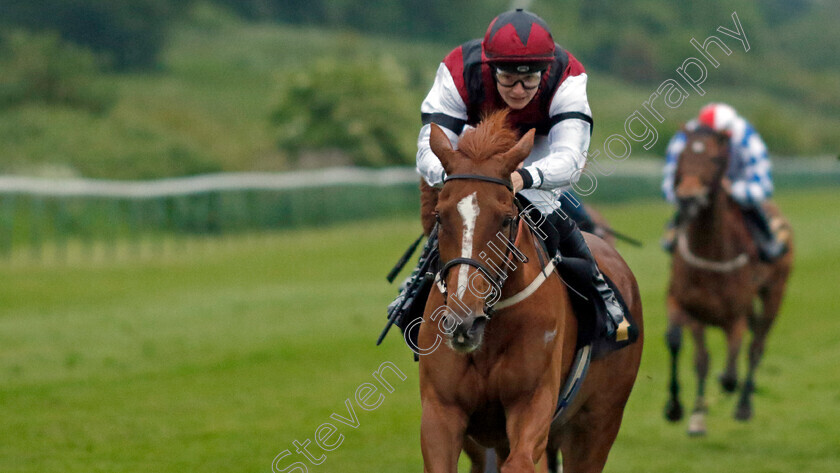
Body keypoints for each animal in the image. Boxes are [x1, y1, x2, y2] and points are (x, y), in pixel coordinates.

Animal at [418, 109, 644, 470]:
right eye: (440, 216)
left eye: (506, 218)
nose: (464, 322)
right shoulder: (441, 411)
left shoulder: (533, 403)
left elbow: (521, 461)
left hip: (598, 424)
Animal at [664, 124, 796, 436]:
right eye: (682, 155)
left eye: (715, 159)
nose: (687, 197)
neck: (709, 253)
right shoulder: (687, 306)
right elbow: (688, 351)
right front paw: (683, 411)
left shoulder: (734, 317)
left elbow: (730, 372)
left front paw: (725, 388)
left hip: (774, 293)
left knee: (756, 347)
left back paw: (744, 406)